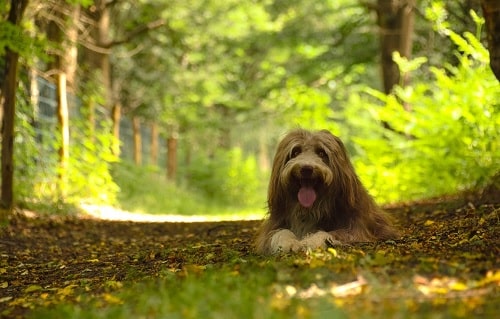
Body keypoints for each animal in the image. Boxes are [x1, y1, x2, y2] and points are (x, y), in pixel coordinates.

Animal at [256, 129, 396, 256]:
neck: (310, 209)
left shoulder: (356, 228)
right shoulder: (274, 224)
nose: (306, 168)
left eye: (321, 152)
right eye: (295, 152)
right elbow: (279, 232)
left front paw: (310, 241)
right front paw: (288, 242)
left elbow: (329, 233)